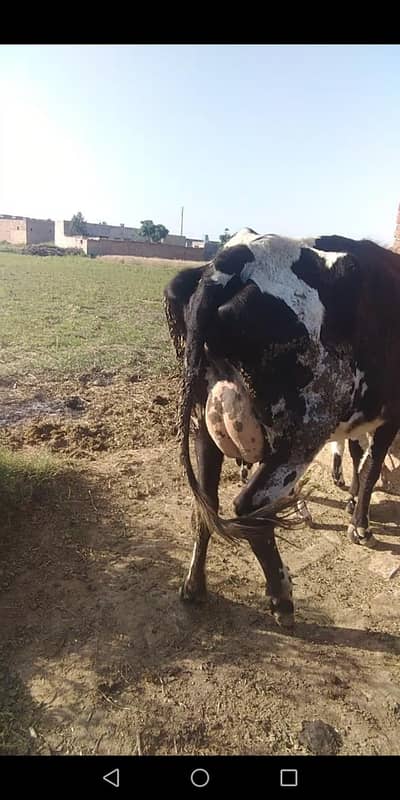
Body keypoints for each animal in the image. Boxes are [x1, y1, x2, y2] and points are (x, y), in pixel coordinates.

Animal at [164, 229, 400, 627]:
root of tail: (224, 264)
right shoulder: (391, 414)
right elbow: (370, 467)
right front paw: (360, 524)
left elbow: (357, 454)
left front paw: (350, 497)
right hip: (301, 436)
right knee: (250, 508)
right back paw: (282, 599)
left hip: (204, 429)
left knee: (206, 506)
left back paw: (194, 586)